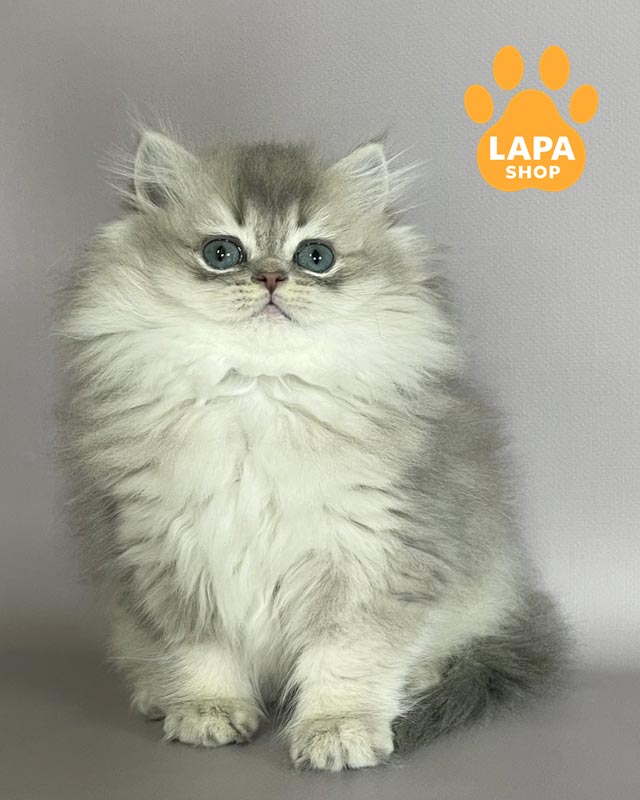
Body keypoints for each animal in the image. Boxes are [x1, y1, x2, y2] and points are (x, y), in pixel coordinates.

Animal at [55, 128, 570, 771]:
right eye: (222, 252)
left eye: (315, 257)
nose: (273, 278)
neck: (258, 392)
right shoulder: (164, 550)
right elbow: (201, 650)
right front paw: (208, 710)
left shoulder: (375, 555)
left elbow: (347, 658)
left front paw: (338, 729)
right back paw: (156, 692)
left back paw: (420, 679)